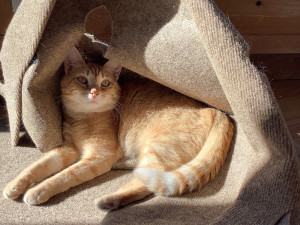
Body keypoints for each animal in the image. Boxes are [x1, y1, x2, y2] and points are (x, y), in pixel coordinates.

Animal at [2, 47, 234, 211]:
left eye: (105, 83)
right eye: (82, 80)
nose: (94, 92)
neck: (82, 119)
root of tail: (213, 110)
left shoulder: (98, 156)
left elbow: (64, 176)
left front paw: (38, 191)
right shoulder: (66, 149)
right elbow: (37, 166)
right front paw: (14, 185)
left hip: (157, 150)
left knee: (145, 184)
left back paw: (108, 201)